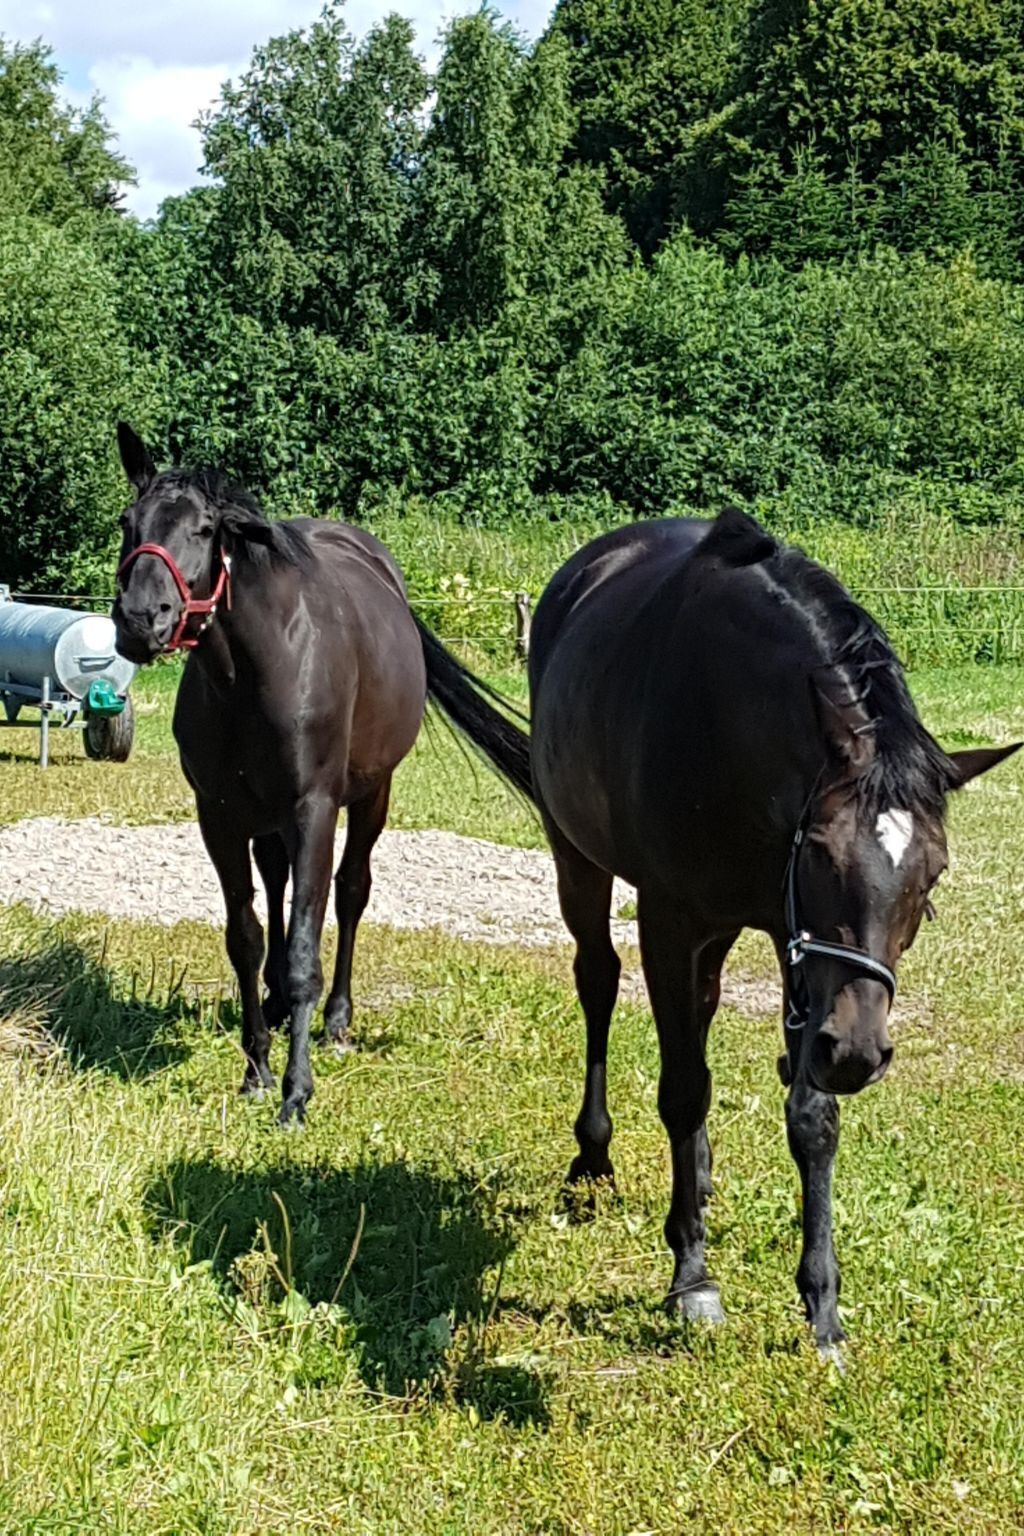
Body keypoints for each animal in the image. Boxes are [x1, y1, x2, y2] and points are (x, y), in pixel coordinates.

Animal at [111, 423, 528, 1126]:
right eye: (127, 522)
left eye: (203, 529)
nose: (141, 620)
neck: (255, 672)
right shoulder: (219, 816)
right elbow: (246, 938)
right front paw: (255, 1069)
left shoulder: (314, 808)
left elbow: (309, 942)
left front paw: (295, 1092)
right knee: (278, 885)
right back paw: (278, 1005)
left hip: (370, 796)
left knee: (351, 891)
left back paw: (334, 1020)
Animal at [455, 509, 1019, 1358]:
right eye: (820, 850)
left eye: (934, 872)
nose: (859, 1054)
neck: (727, 727)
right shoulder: (671, 921)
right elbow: (683, 1089)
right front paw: (692, 1277)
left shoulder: (800, 950)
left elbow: (810, 1116)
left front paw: (822, 1305)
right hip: (575, 857)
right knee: (599, 982)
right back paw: (594, 1159)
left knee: (704, 1009)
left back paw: (702, 1173)